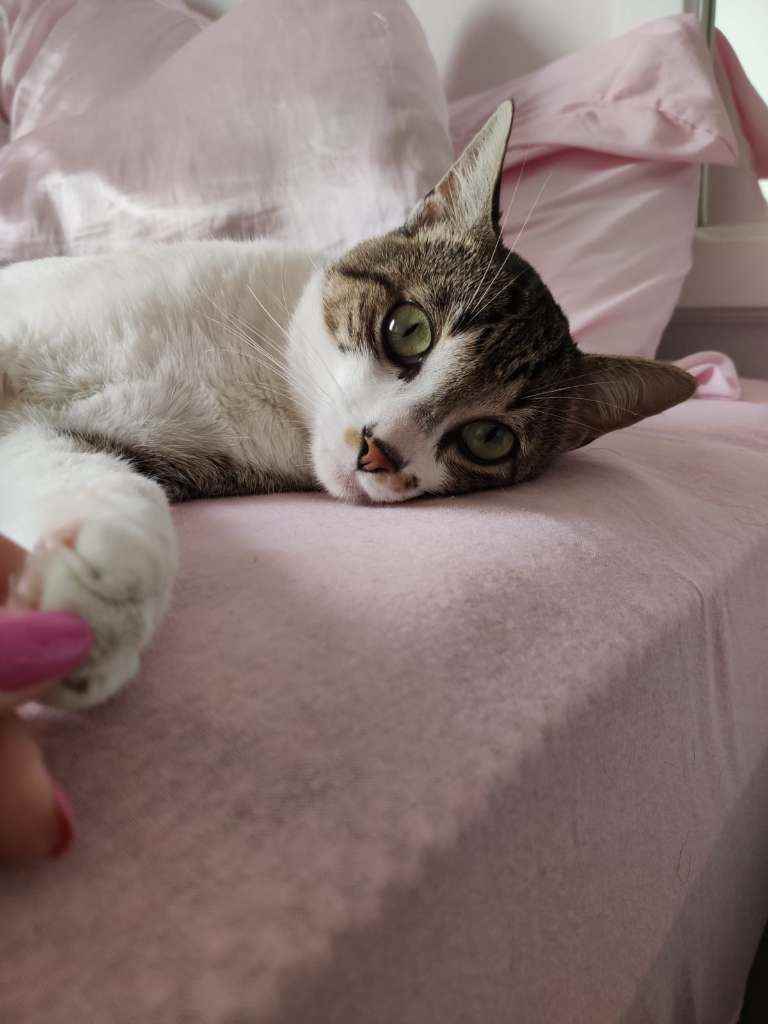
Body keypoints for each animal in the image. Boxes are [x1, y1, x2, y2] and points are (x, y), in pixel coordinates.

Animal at [0, 101, 695, 709]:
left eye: (490, 439)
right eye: (408, 329)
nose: (378, 450)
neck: (263, 379)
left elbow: (93, 473)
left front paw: (93, 599)